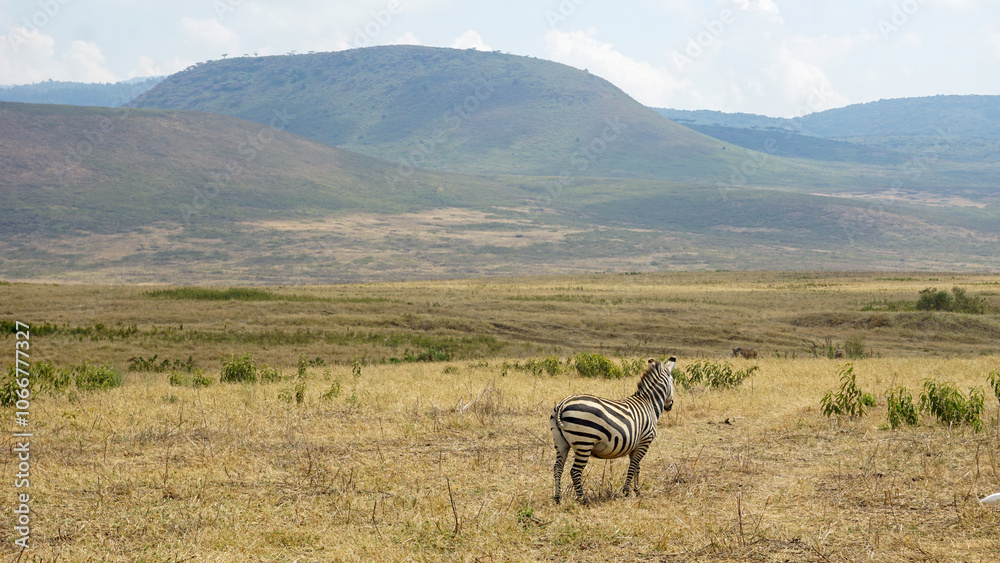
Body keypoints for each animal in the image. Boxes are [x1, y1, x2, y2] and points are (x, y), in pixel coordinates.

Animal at [549, 357, 676, 504]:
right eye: (673, 381)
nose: (670, 405)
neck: (648, 403)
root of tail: (562, 405)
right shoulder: (645, 441)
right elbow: (633, 466)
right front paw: (627, 491)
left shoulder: (637, 444)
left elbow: (637, 467)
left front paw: (637, 490)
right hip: (584, 442)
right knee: (575, 471)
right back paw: (583, 499)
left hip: (560, 442)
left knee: (558, 467)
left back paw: (557, 498)